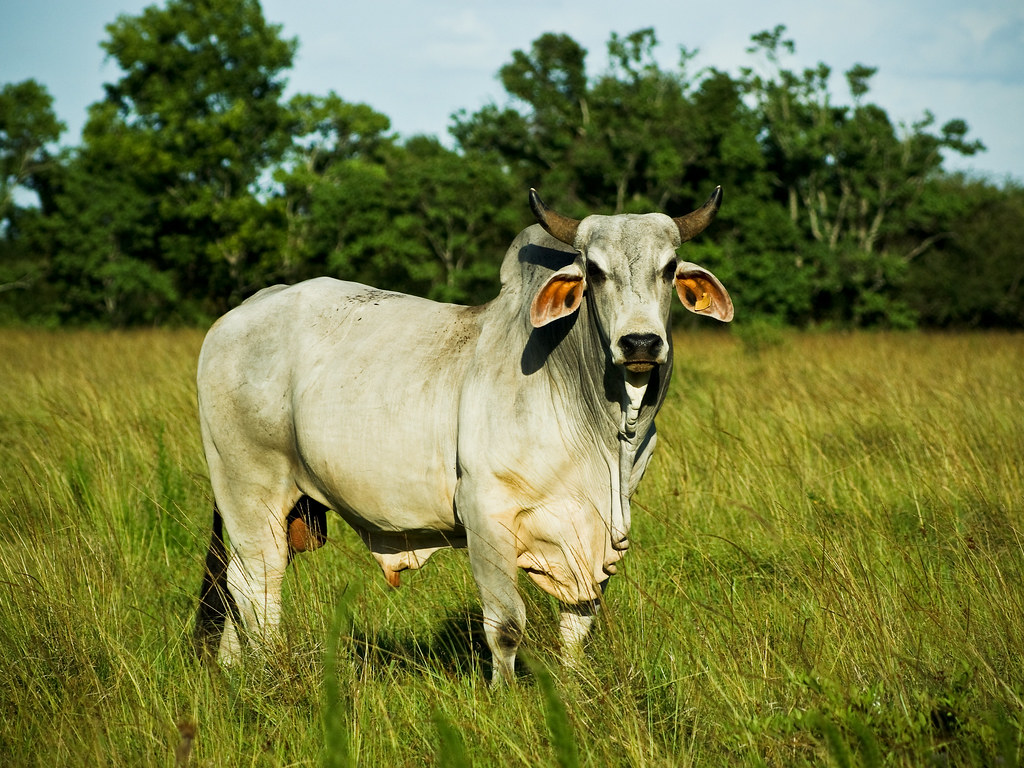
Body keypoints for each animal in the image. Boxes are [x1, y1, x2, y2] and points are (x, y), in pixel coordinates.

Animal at [194, 188, 733, 684]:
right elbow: (506, 625)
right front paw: (503, 696)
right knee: (255, 584)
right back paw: (269, 671)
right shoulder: (485, 514)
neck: (602, 427)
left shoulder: (599, 535)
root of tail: (243, 310)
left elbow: (578, 626)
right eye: (595, 271)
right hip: (249, 489)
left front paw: (575, 687)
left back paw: (232, 671)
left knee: (235, 587)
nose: (640, 343)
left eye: (669, 268)